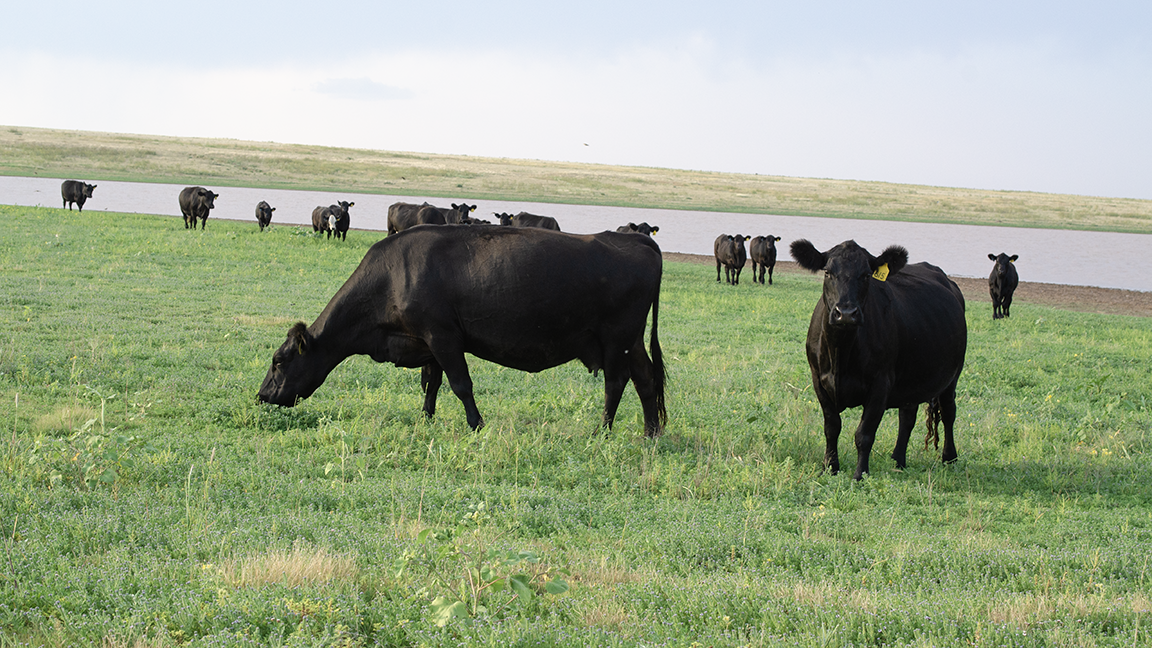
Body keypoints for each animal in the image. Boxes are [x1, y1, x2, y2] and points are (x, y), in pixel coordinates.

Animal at [258, 226, 667, 436]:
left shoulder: (443, 336)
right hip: (631, 340)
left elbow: (460, 384)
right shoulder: (426, 342)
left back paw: (603, 431)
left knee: (615, 381)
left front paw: (477, 425)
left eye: (279, 361)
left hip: (616, 338)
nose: (262, 395)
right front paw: (426, 419)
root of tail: (638, 239)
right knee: (646, 379)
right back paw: (650, 432)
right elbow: (431, 383)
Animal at [790, 239, 967, 480]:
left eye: (866, 275)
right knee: (907, 416)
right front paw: (830, 467)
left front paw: (859, 474)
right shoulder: (819, 380)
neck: (840, 353)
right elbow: (832, 427)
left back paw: (949, 457)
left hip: (953, 374)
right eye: (827, 272)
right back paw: (898, 460)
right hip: (911, 376)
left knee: (948, 411)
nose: (846, 313)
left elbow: (864, 434)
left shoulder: (881, 384)